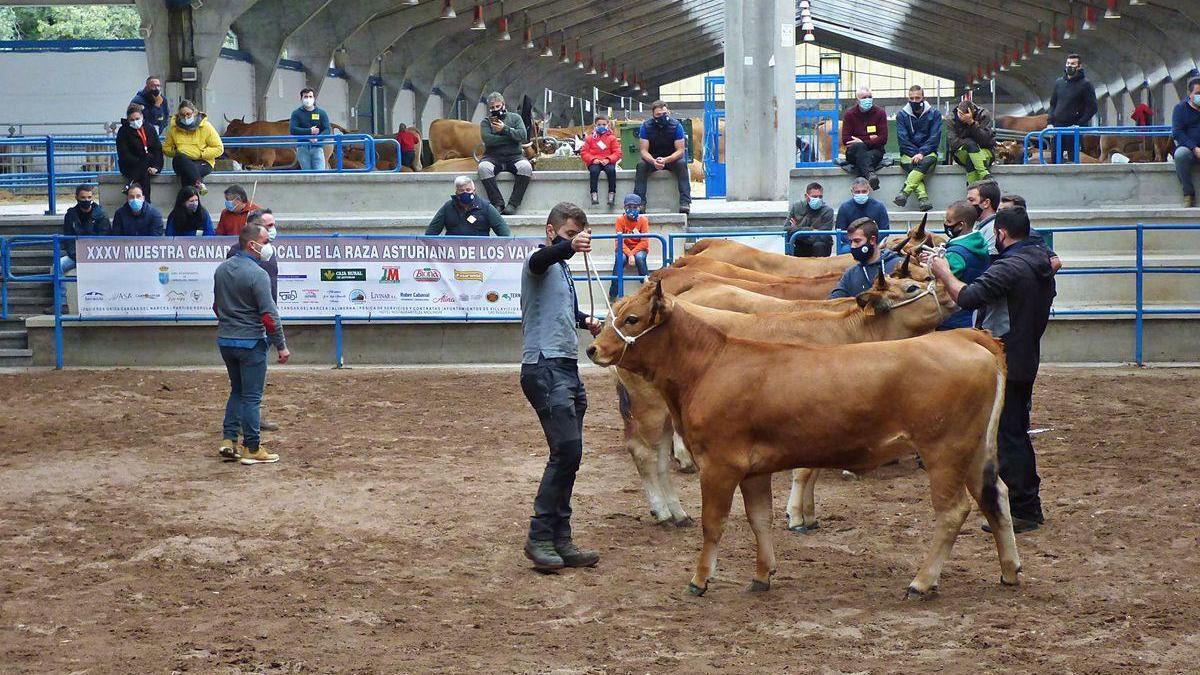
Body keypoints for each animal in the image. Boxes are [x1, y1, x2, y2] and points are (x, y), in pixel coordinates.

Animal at [585, 281, 1017, 595]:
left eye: (633, 318)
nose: (592, 348)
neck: (711, 364)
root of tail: (964, 337)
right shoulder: (753, 468)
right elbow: (760, 519)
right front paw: (762, 575)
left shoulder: (720, 464)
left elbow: (714, 523)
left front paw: (700, 579)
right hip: (974, 451)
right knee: (996, 495)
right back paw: (1009, 571)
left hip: (945, 451)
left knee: (953, 511)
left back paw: (923, 581)